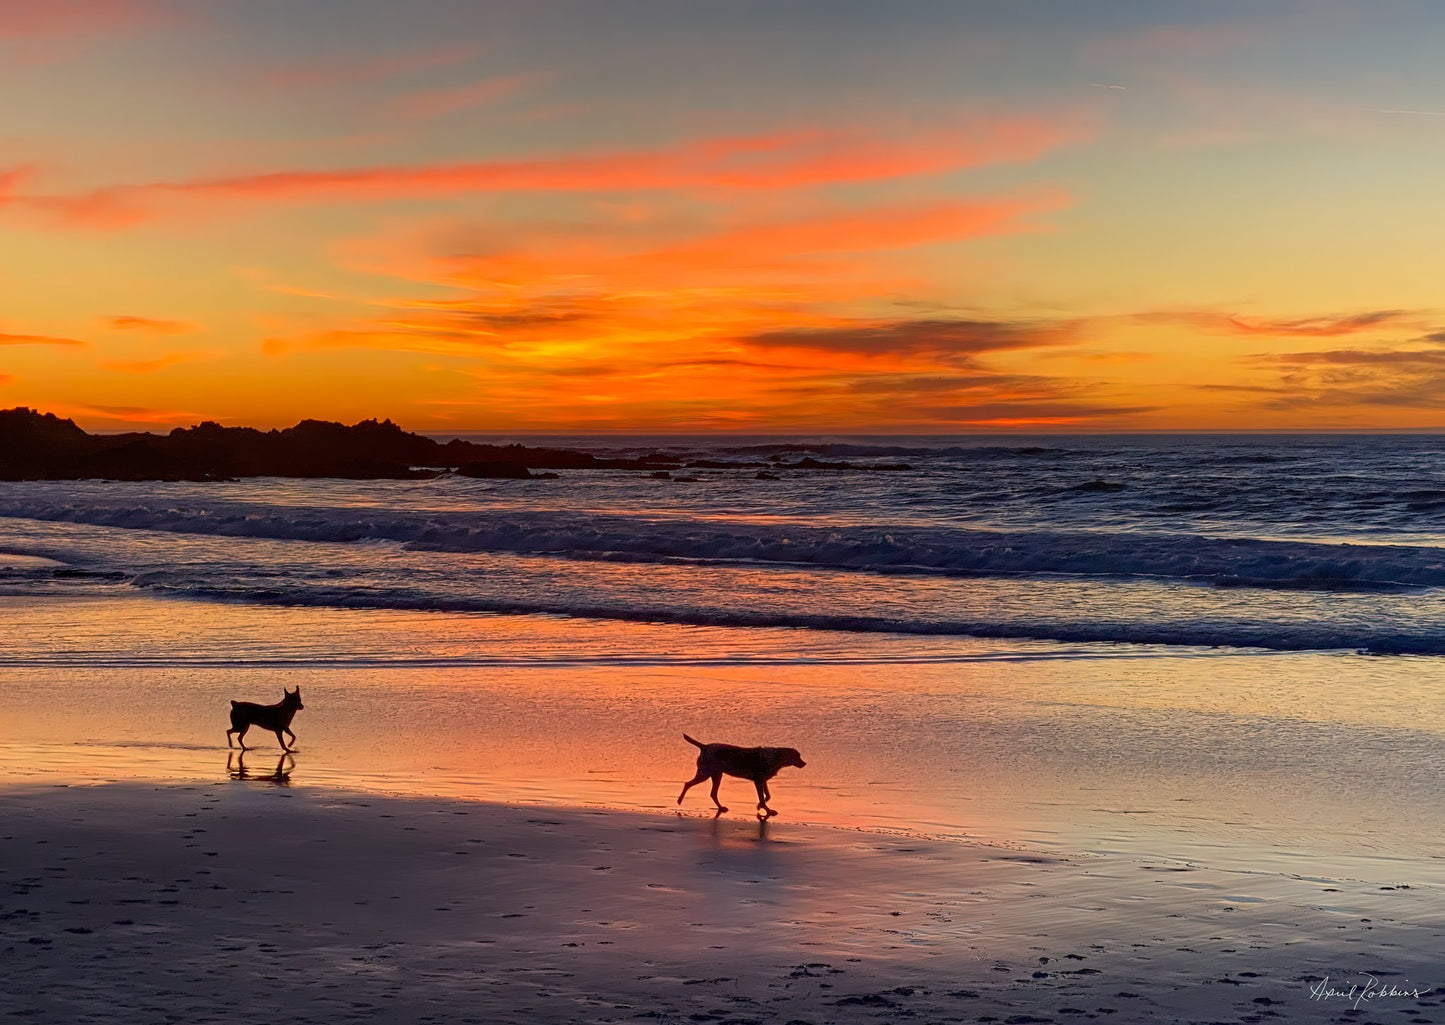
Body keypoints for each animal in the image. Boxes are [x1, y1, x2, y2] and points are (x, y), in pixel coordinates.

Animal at [673, 734, 803, 815]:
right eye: (797, 756)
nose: (804, 763)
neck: (775, 758)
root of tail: (705, 746)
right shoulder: (758, 781)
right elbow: (762, 798)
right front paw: (767, 810)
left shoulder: (763, 781)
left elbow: (767, 796)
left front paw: (760, 806)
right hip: (705, 773)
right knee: (688, 784)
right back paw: (679, 800)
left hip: (716, 775)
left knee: (713, 793)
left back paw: (721, 807)